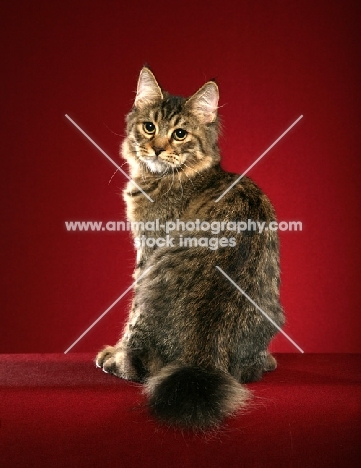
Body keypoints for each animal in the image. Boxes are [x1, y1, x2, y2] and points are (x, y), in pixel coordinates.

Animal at [95, 66, 284, 432]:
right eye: (149, 127)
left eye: (180, 134)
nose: (156, 149)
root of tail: (205, 351)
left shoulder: (147, 249)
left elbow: (129, 317)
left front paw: (114, 351)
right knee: (246, 370)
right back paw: (266, 361)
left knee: (142, 363)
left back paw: (116, 360)